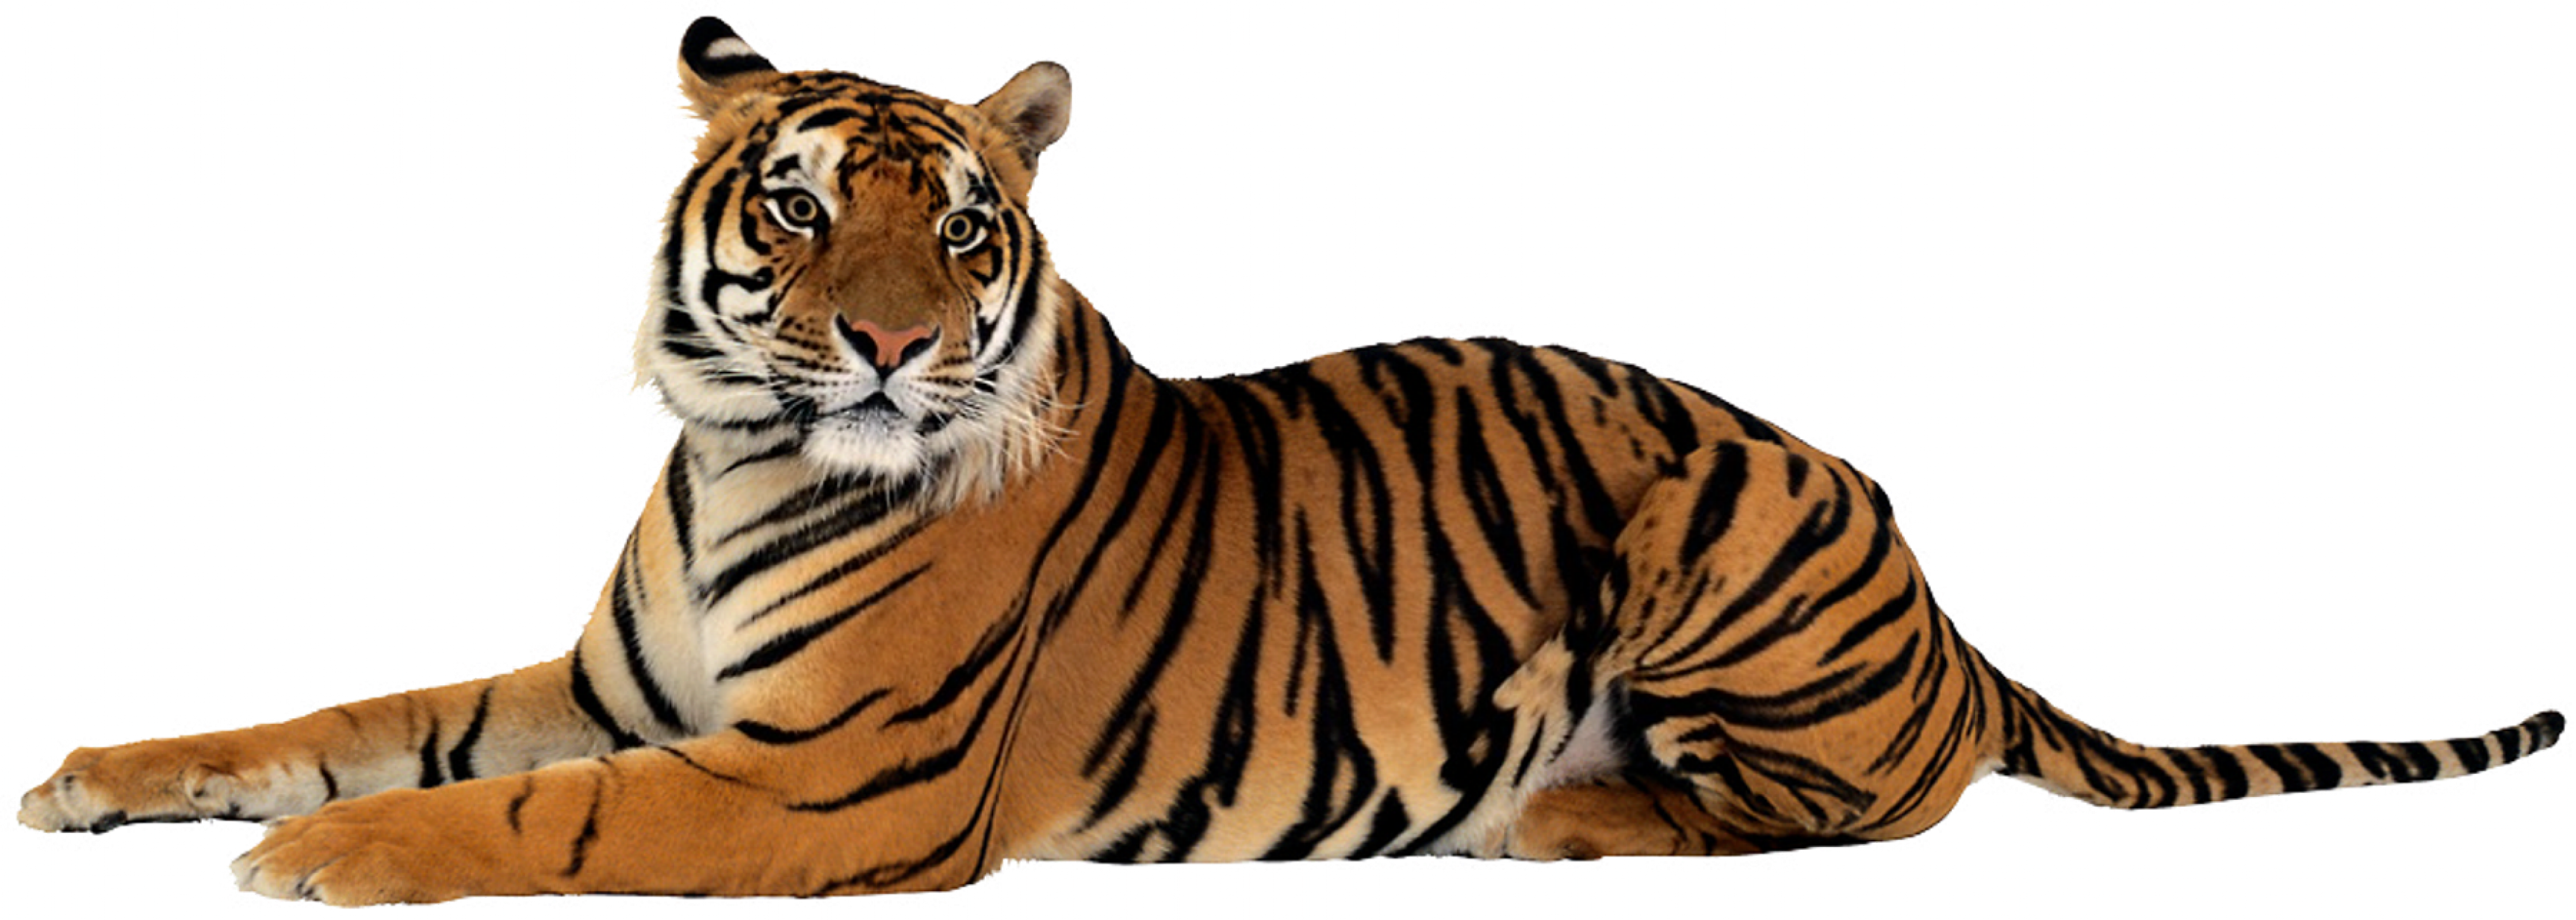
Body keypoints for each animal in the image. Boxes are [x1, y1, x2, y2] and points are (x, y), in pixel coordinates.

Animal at [12, 16, 2565, 906]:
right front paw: (97, 779)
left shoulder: (820, 779)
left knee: (1852, 803)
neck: (735, 461)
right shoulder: (615, 682)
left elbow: (518, 815)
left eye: (961, 230)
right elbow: (355, 716)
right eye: (802, 210)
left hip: (1710, 525)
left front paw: (310, 863)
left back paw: (1560, 811)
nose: (892, 342)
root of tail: (1944, 597)